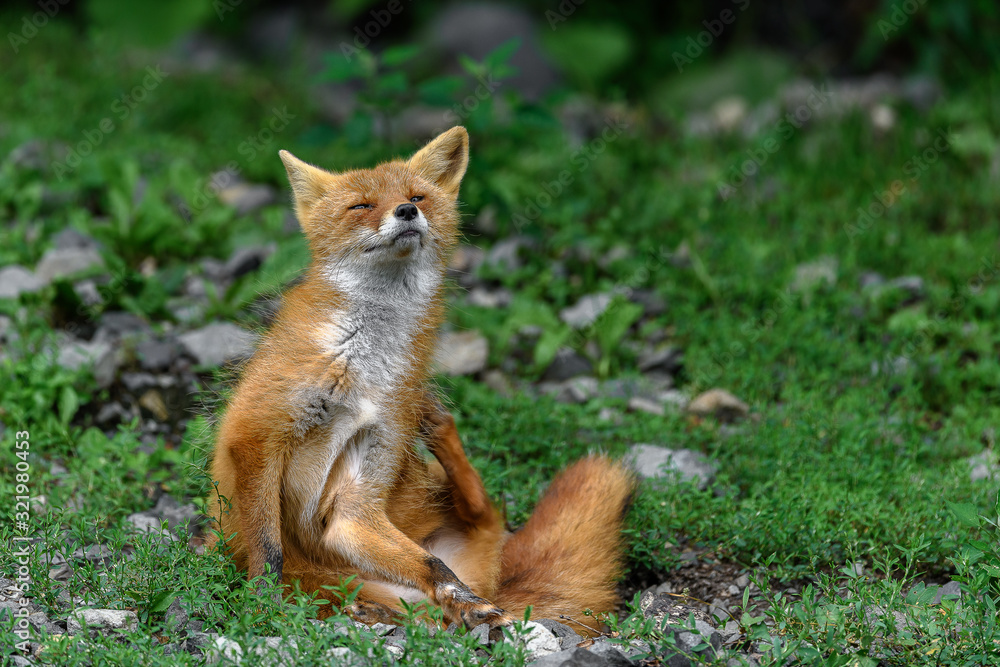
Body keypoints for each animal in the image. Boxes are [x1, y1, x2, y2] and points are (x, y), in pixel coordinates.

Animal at [207, 126, 635, 634]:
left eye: (416, 197)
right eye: (362, 205)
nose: (407, 212)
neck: (360, 361)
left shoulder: (361, 487)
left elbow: (436, 567)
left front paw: (467, 603)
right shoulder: (256, 435)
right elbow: (267, 551)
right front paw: (264, 606)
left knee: (483, 515)